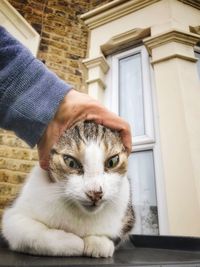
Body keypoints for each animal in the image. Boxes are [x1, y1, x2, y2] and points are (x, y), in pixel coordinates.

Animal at [1, 121, 134, 258]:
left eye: (113, 161)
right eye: (70, 162)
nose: (95, 193)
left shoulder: (127, 214)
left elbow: (115, 234)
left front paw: (98, 241)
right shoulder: (13, 218)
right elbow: (34, 235)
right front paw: (75, 242)